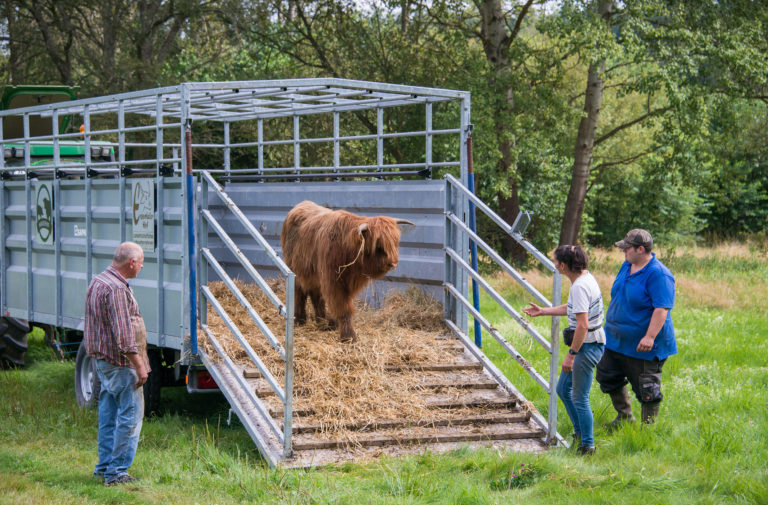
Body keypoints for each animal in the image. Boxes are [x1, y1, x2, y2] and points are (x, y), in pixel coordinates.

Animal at [280, 201, 414, 342]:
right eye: (378, 246)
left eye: (395, 242)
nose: (393, 263)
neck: (346, 248)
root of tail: (301, 204)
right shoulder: (333, 282)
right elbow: (344, 309)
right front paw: (349, 336)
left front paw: (334, 325)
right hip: (295, 271)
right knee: (299, 293)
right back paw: (299, 320)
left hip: (315, 275)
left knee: (316, 296)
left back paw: (322, 321)